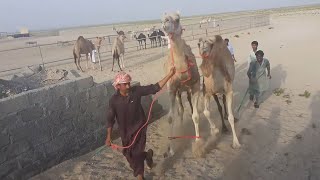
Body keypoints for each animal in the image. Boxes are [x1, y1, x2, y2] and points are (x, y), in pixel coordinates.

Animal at [161, 11, 201, 157]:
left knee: (189, 106)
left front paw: (198, 143)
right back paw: (182, 127)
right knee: (181, 110)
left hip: (187, 90)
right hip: (179, 92)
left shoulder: (195, 86)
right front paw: (171, 149)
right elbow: (171, 118)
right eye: (162, 19)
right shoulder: (171, 90)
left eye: (177, 19)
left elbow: (196, 115)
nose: (165, 23)